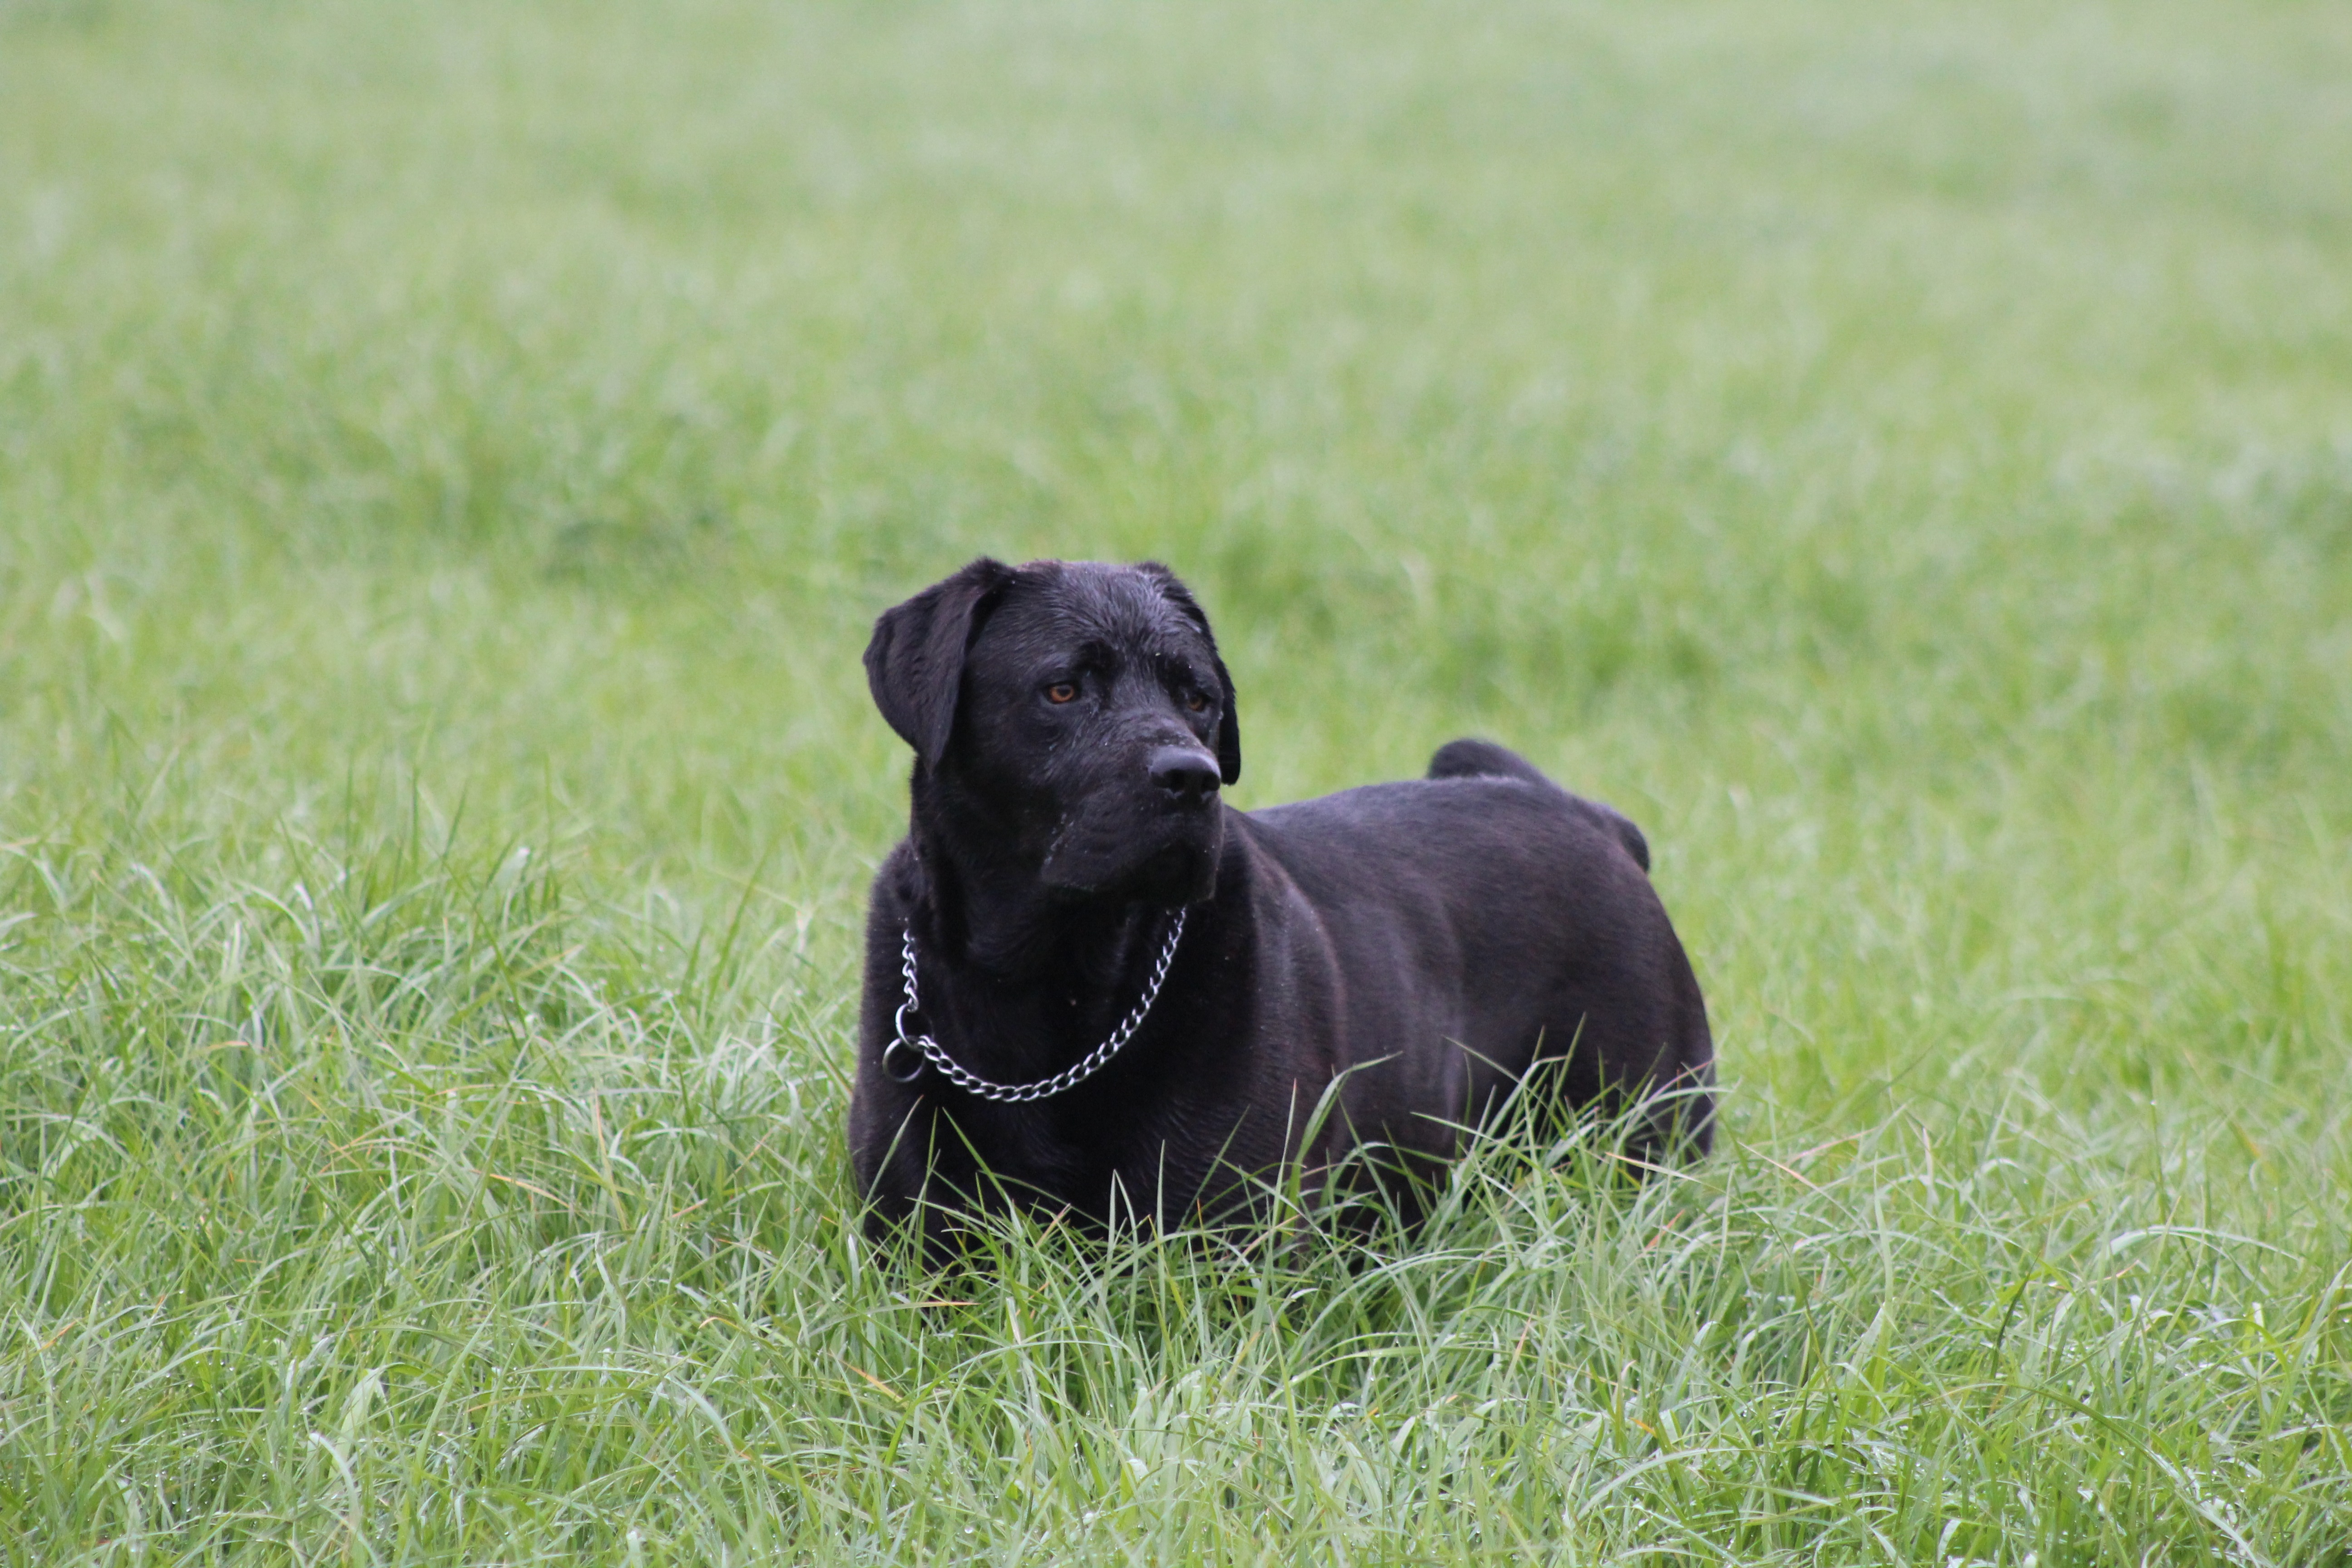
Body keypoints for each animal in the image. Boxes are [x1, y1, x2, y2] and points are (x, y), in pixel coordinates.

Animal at [847, 557, 1712, 1241]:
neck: (1049, 985)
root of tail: (1595, 822)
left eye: (1198, 699)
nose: (1190, 778)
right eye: (1061, 690)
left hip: (1641, 1131)